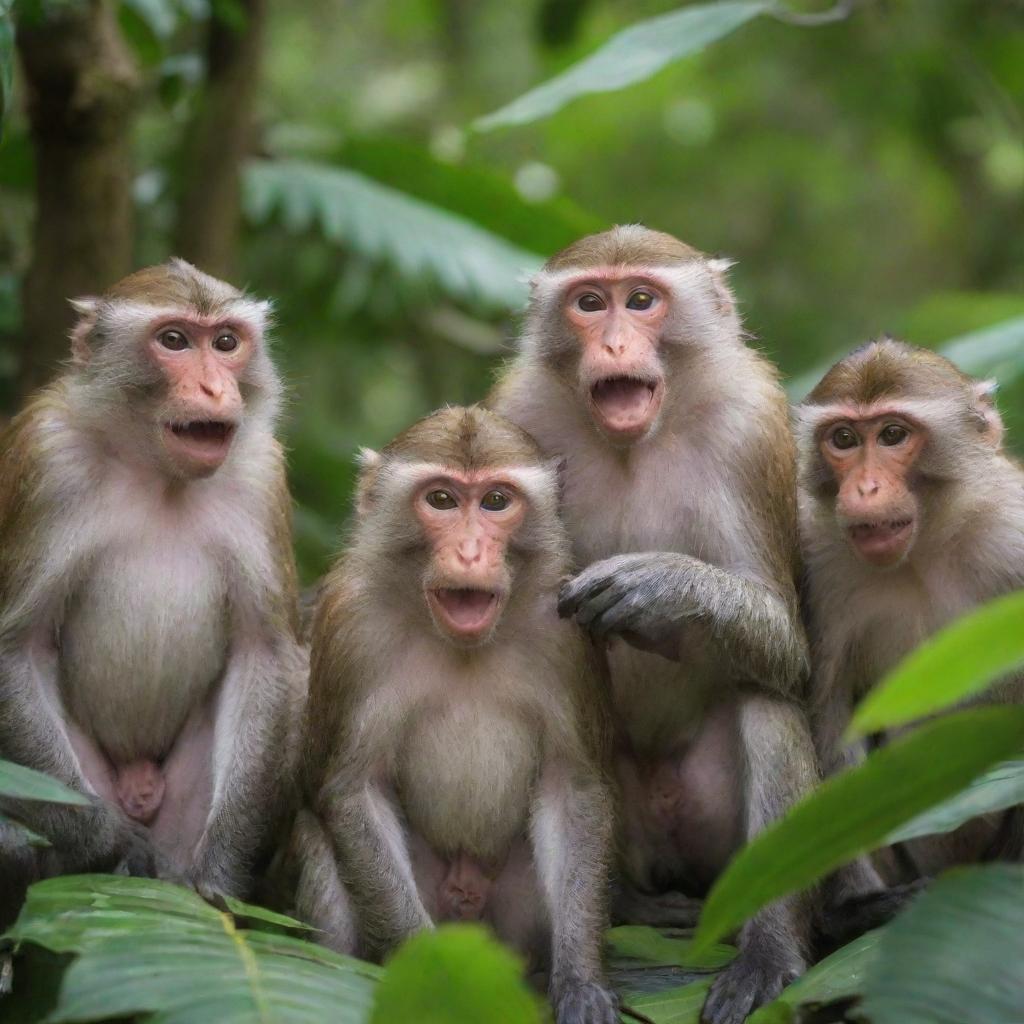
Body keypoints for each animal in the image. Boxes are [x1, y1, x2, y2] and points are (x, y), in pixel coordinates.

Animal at [0, 258, 305, 929]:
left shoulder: (261, 470)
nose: (217, 389)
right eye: (173, 341)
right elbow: (14, 645)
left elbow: (264, 654)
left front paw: (222, 876)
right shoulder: (46, 455)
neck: (155, 470)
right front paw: (109, 845)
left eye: (226, 342)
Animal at [292, 403, 618, 1024]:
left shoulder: (566, 627)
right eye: (441, 500)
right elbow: (352, 790)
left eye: (495, 501)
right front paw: (440, 982)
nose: (469, 552)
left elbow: (572, 787)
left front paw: (581, 982)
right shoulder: (350, 622)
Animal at [491, 226, 819, 1024]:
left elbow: (788, 650)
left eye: (641, 299)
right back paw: (632, 908)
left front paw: (661, 588)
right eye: (589, 303)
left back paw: (765, 950)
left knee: (762, 700)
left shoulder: (751, 426)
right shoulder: (520, 409)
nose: (613, 342)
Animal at [794, 337, 1019, 897]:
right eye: (844, 439)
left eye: (893, 435)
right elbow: (829, 713)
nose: (866, 488)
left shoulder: (1014, 531)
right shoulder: (818, 556)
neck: (923, 551)